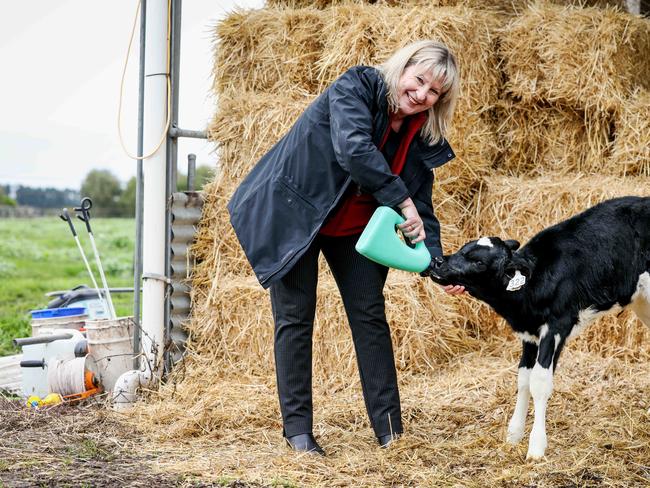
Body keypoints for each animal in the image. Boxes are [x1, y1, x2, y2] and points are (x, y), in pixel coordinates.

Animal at [426, 196, 648, 460]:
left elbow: (540, 382)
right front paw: (514, 434)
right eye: (463, 248)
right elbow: (523, 378)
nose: (438, 261)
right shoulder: (528, 334)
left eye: (478, 261)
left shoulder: (556, 326)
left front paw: (536, 447)